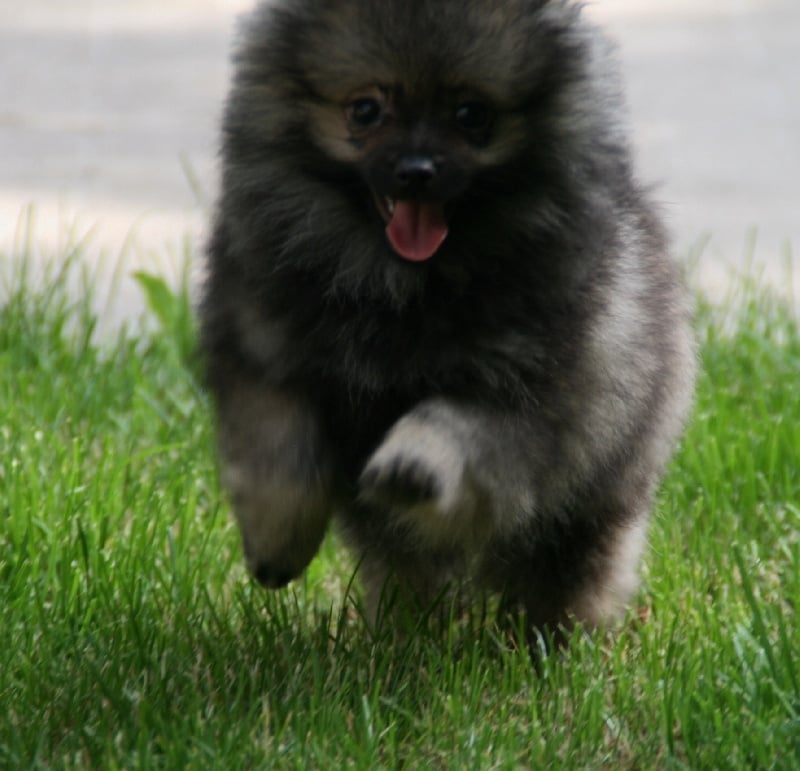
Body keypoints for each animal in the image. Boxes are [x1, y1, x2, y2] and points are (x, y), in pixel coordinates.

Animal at [200, 0, 692, 632]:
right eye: (365, 110)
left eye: (471, 114)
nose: (417, 170)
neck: (398, 288)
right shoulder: (263, 355)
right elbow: (279, 455)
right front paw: (275, 544)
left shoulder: (530, 400)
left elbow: (455, 426)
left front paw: (412, 463)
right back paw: (400, 635)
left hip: (599, 492)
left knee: (574, 571)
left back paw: (556, 641)